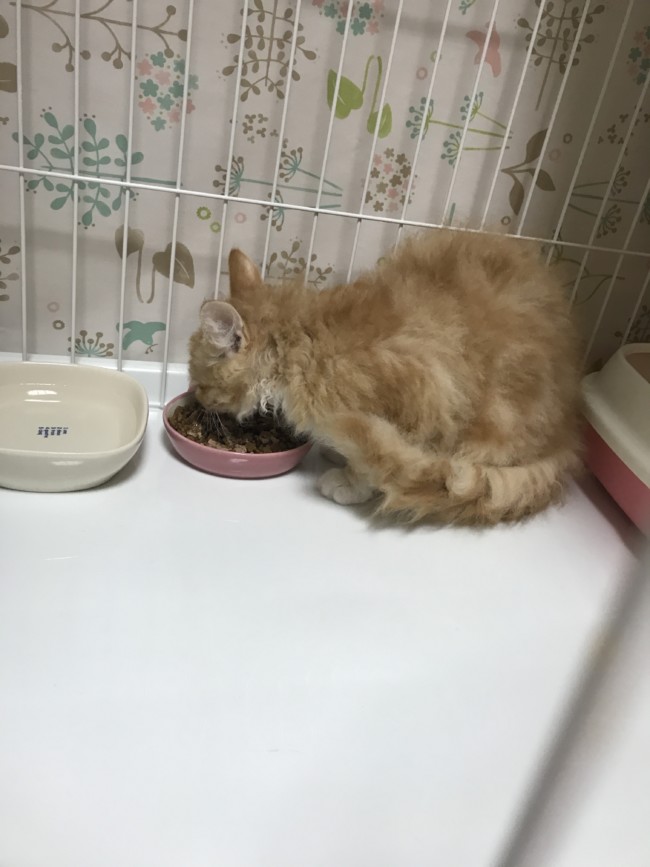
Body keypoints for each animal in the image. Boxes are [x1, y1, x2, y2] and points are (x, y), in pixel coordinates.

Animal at [188, 230, 583, 525]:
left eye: (201, 383)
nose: (197, 400)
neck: (303, 344)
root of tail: (565, 432)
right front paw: (335, 453)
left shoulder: (419, 394)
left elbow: (376, 460)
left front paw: (349, 481)